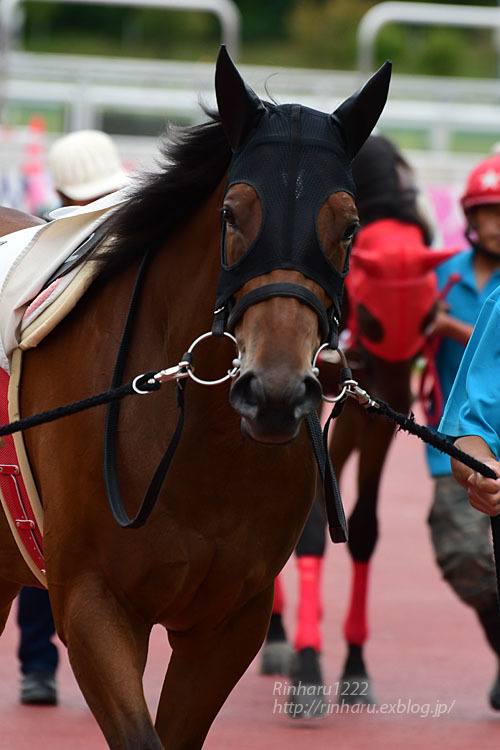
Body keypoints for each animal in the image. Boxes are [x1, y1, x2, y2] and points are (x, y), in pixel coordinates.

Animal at [0, 50, 390, 748]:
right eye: (232, 213)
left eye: (349, 227)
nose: (275, 391)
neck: (202, 453)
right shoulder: (93, 604)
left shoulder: (228, 623)